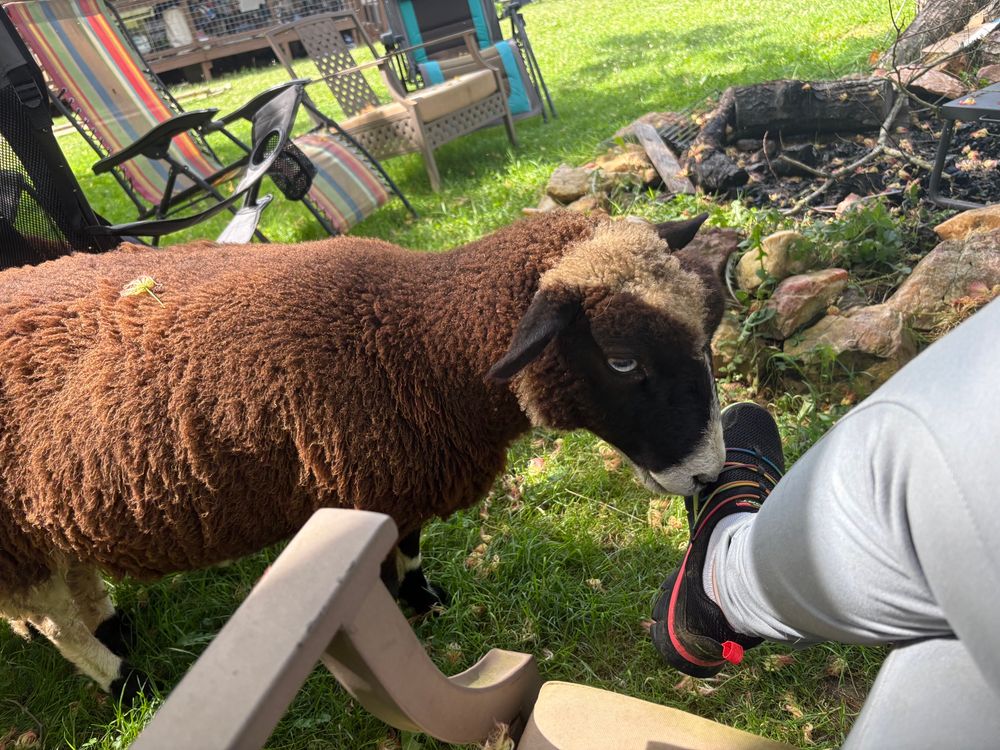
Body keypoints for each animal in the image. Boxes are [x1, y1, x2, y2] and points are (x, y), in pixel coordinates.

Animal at [0, 210, 728, 698]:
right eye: (623, 360)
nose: (708, 473)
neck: (423, 343)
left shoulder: (399, 482)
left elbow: (409, 543)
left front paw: (425, 597)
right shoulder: (360, 486)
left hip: (47, 510)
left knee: (73, 576)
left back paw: (112, 626)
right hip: (14, 533)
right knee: (55, 620)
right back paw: (123, 679)